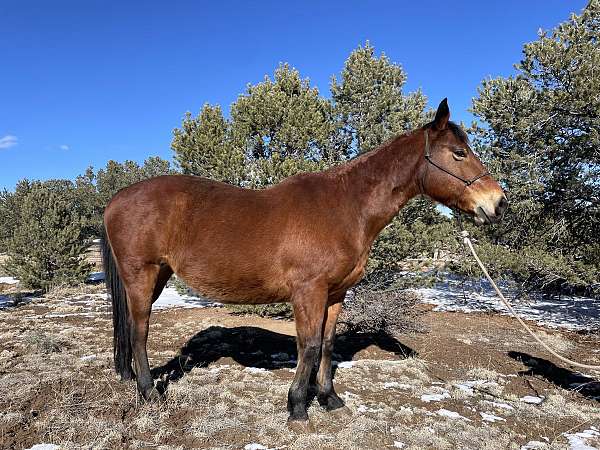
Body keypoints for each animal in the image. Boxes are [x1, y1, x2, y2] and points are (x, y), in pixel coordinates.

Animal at [102, 97, 506, 426]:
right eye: (458, 153)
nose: (498, 203)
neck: (345, 207)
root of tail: (117, 199)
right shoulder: (308, 292)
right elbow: (308, 345)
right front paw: (297, 406)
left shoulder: (335, 294)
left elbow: (326, 344)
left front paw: (329, 398)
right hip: (141, 275)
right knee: (139, 331)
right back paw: (149, 394)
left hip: (157, 276)